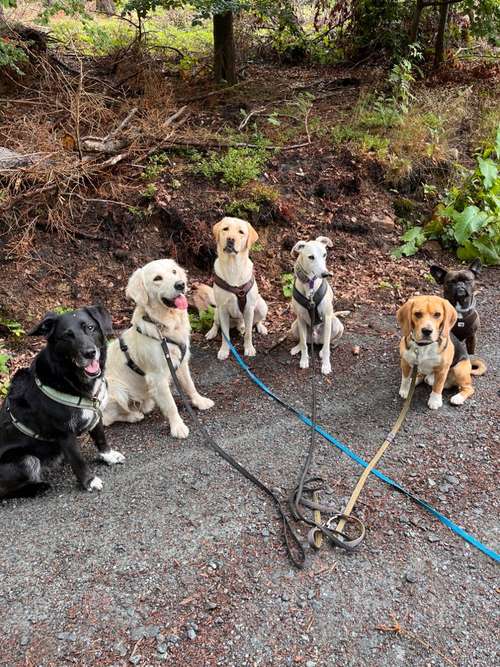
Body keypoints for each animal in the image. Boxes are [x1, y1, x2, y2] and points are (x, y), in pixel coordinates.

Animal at [0, 306, 124, 498]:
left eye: (90, 327)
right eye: (67, 336)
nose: (90, 353)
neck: (69, 377)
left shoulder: (95, 413)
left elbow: (100, 438)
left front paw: (108, 455)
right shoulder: (64, 433)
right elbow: (78, 461)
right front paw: (89, 482)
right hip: (25, 460)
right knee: (6, 490)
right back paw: (38, 487)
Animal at [102, 260, 214, 438]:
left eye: (174, 271)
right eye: (157, 278)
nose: (180, 284)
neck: (165, 325)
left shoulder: (181, 363)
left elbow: (190, 385)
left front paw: (200, 401)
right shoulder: (157, 376)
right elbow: (171, 404)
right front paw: (178, 427)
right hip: (115, 389)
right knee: (108, 418)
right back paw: (134, 416)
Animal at [205, 218, 268, 360]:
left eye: (241, 232)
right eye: (225, 229)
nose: (230, 239)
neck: (233, 266)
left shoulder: (249, 308)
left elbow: (249, 333)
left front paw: (249, 348)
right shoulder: (222, 309)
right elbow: (225, 335)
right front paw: (224, 350)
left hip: (262, 306)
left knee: (255, 322)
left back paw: (259, 328)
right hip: (217, 312)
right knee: (216, 324)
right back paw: (211, 332)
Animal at [290, 237, 344, 376]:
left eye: (324, 254)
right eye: (311, 257)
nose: (326, 274)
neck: (310, 284)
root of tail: (316, 339)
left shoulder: (327, 316)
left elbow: (327, 348)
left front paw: (326, 365)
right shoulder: (300, 318)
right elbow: (304, 344)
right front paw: (304, 360)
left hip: (336, 324)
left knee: (328, 342)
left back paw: (324, 349)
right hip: (294, 325)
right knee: (304, 341)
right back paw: (297, 348)